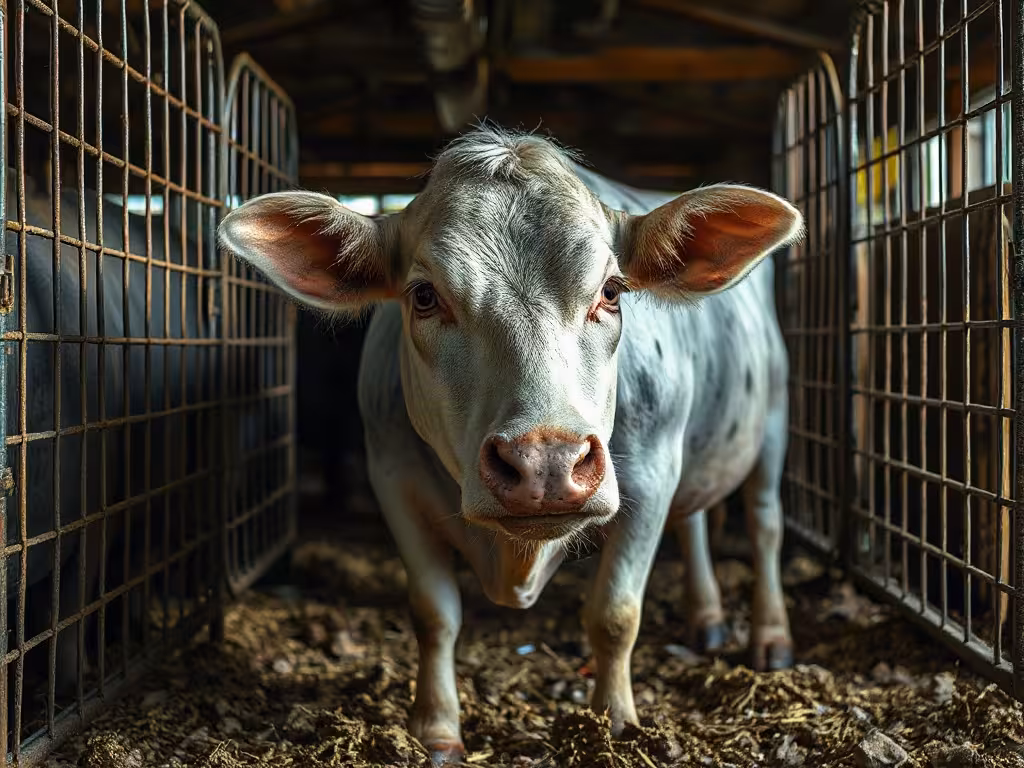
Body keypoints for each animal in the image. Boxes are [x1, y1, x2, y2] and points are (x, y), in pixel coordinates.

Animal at [218, 125, 804, 764]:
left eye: (612, 291)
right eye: (424, 296)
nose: (546, 462)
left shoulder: (651, 474)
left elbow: (615, 613)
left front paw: (613, 723)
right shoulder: (392, 477)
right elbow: (434, 613)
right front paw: (436, 728)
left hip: (775, 414)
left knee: (764, 524)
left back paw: (772, 637)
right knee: (694, 521)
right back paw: (707, 617)